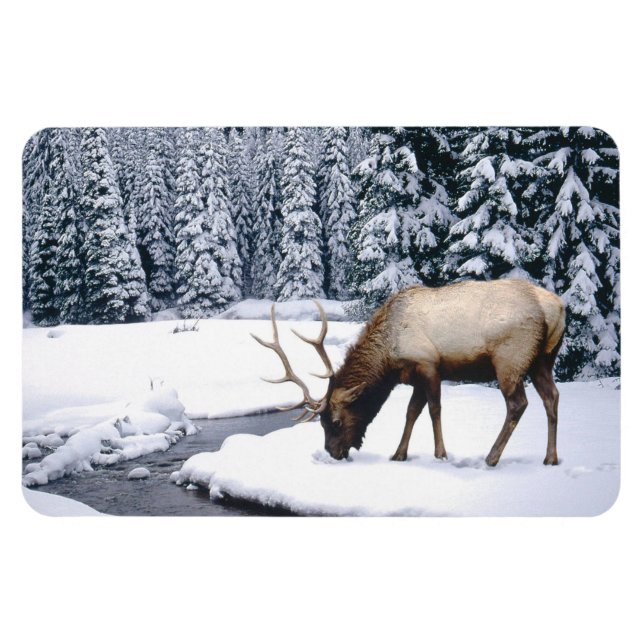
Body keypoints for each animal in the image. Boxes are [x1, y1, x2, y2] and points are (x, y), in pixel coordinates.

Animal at [251, 279, 565, 467]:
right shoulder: (414, 377)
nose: (332, 452)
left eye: (336, 422)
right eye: (321, 423)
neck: (389, 356)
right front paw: (398, 454)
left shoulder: (429, 364)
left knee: (518, 404)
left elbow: (434, 410)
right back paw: (550, 457)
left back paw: (492, 457)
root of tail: (558, 308)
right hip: (543, 360)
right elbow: (411, 412)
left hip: (510, 359)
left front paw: (440, 454)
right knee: (552, 397)